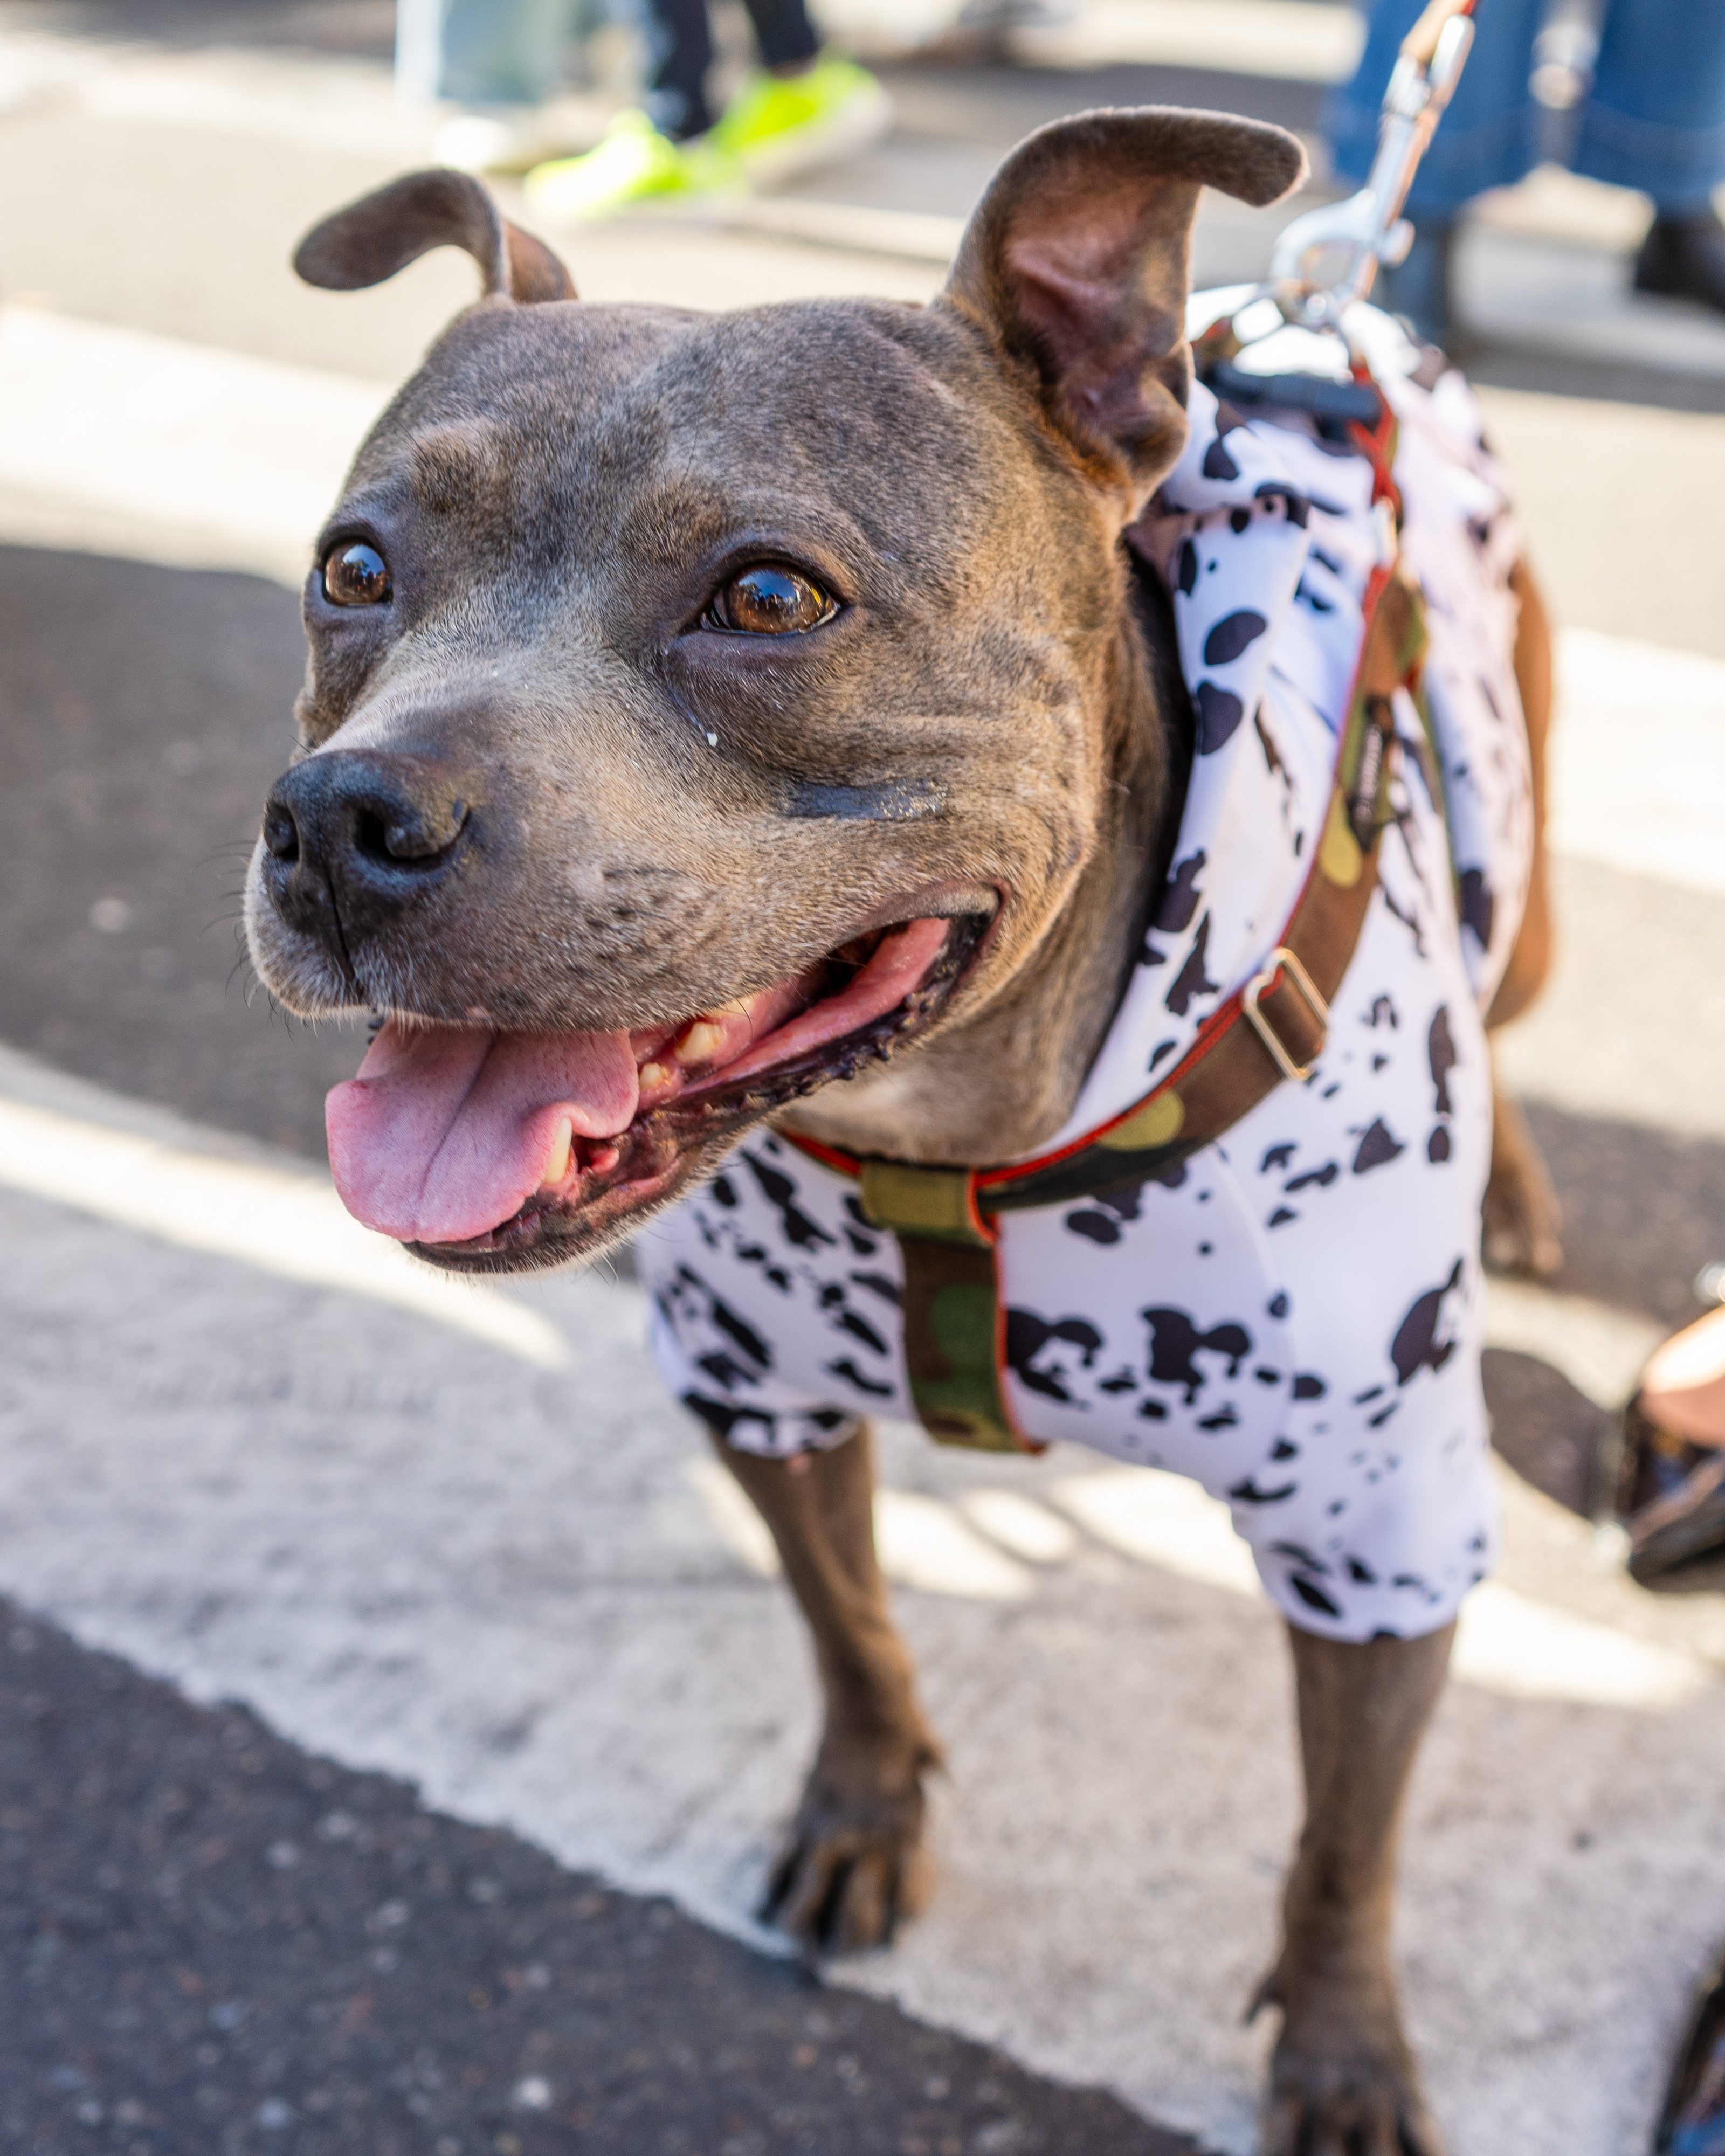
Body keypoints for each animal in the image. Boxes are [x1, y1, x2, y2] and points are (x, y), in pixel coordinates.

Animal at [246, 114, 1561, 2156]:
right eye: (354, 566)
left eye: (771, 597)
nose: (338, 821)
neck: (964, 1130)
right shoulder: (758, 1396)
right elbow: (852, 1627)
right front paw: (864, 1813)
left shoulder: (1379, 1531)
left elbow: (1346, 1846)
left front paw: (1344, 2049)